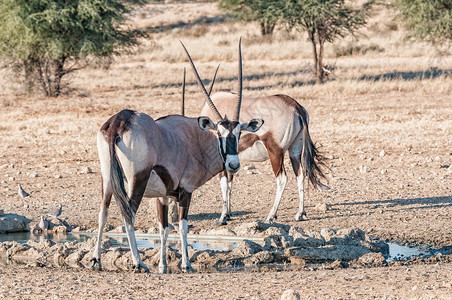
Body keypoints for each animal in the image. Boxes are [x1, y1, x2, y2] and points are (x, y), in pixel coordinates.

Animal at [90, 40, 264, 274]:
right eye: (219, 133)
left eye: (238, 134)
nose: (233, 164)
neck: (195, 141)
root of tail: (119, 121)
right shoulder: (185, 190)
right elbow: (182, 226)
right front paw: (186, 264)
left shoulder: (163, 196)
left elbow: (163, 229)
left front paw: (163, 265)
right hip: (137, 180)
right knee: (128, 215)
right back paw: (138, 263)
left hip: (107, 177)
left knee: (103, 213)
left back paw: (96, 259)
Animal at [201, 91, 328, 225]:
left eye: (239, 133)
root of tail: (297, 108)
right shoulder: (231, 162)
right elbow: (230, 184)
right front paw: (229, 214)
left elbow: (224, 184)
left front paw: (223, 217)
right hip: (295, 150)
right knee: (300, 174)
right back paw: (300, 213)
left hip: (275, 153)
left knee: (282, 179)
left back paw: (270, 216)